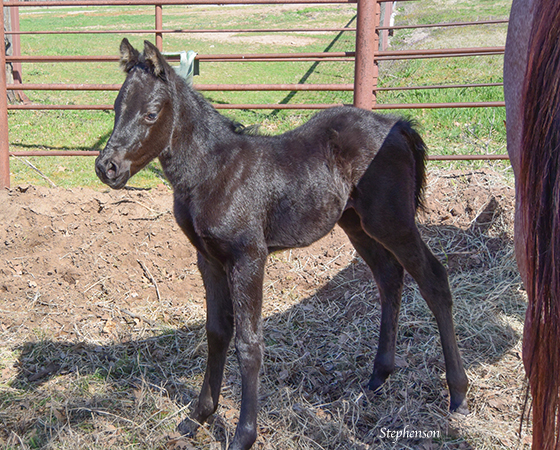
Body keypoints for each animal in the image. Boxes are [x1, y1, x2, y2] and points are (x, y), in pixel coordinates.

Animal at [96, 39, 468, 450]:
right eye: (116, 108)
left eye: (150, 113)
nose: (107, 167)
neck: (214, 172)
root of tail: (398, 125)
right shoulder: (208, 259)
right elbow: (216, 332)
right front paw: (197, 417)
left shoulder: (248, 257)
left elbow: (249, 343)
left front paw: (243, 435)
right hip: (356, 223)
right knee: (389, 278)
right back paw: (378, 377)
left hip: (392, 221)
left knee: (433, 278)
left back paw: (458, 394)